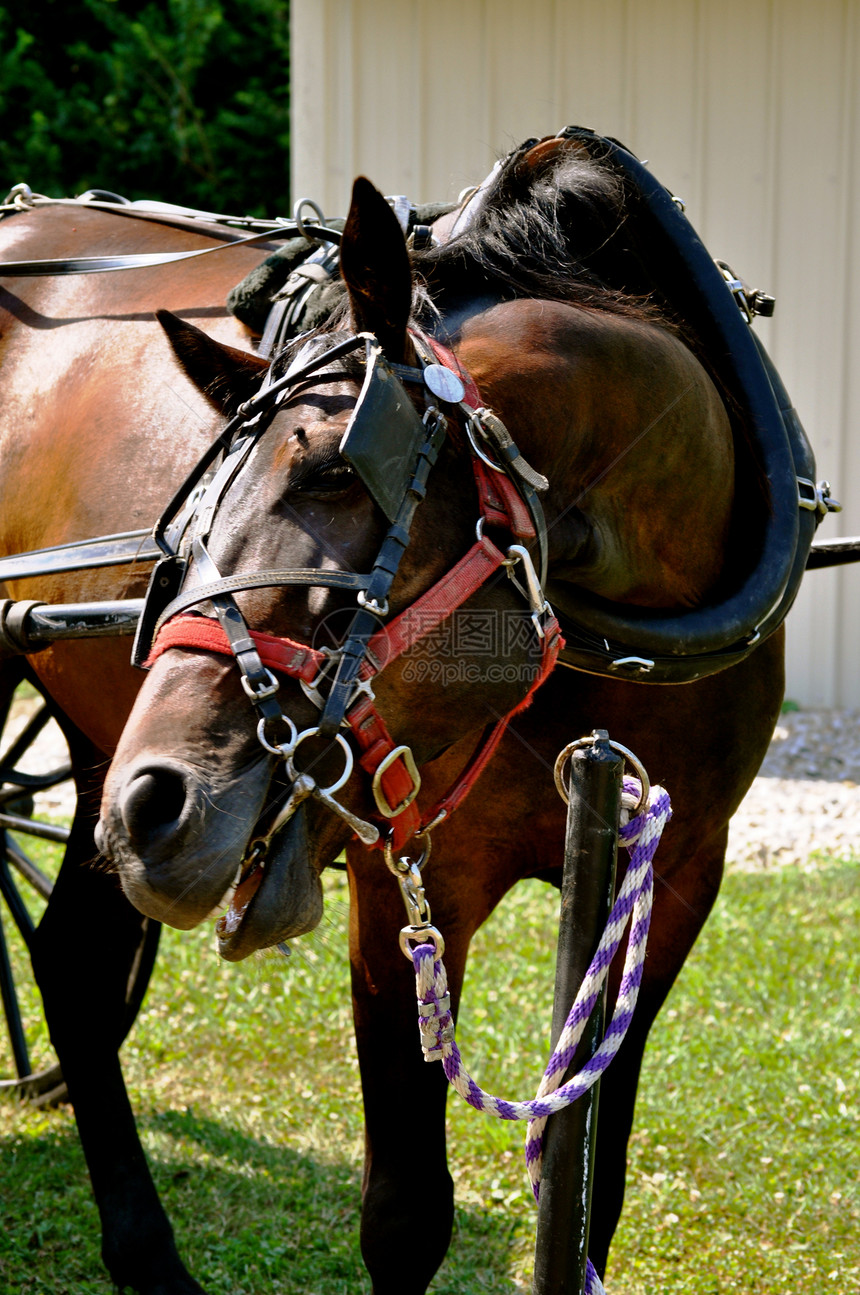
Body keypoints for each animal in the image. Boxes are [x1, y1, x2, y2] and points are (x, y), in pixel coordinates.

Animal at [1, 134, 792, 1295]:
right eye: (187, 519)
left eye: (336, 469)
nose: (159, 805)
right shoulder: (405, 887)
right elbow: (407, 1214)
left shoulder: (680, 867)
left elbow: (589, 1181)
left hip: (95, 737)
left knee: (72, 961)